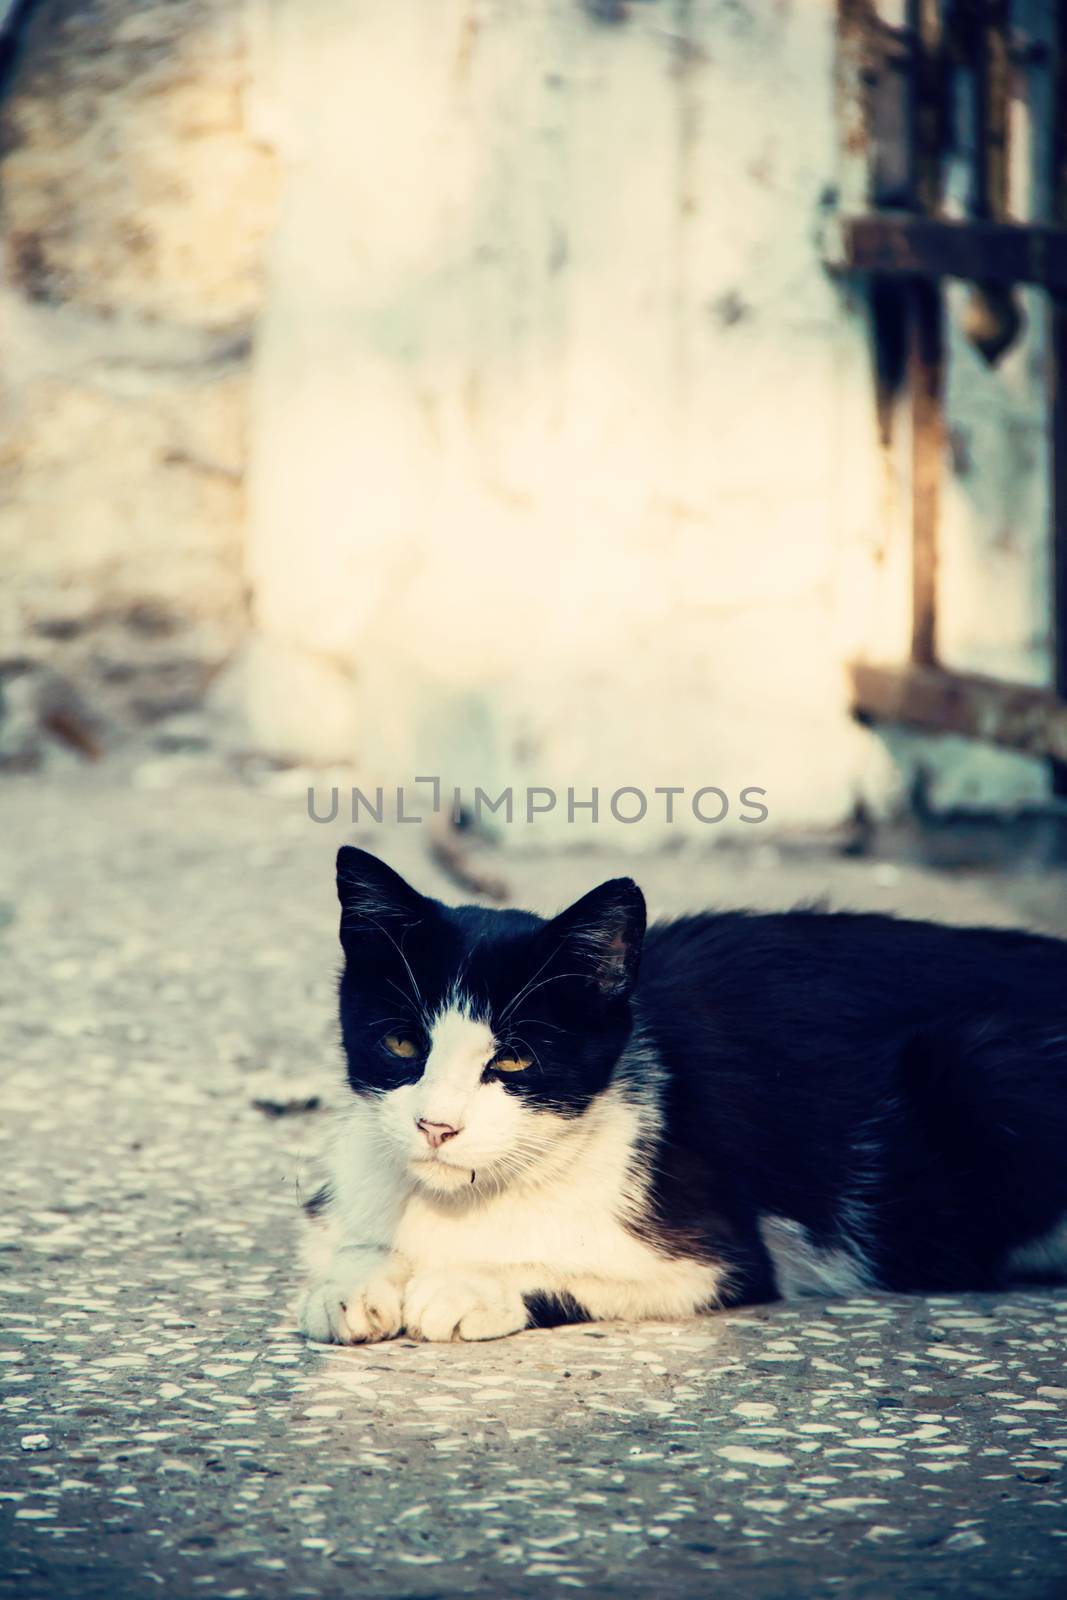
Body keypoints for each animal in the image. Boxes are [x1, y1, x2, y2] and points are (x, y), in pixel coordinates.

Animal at [299, 844, 1067, 1344]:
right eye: (403, 1045)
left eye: (514, 1058)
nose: (437, 1126)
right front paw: (348, 1282)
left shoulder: (727, 1249)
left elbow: (583, 1271)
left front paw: (470, 1284)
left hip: (979, 1065)